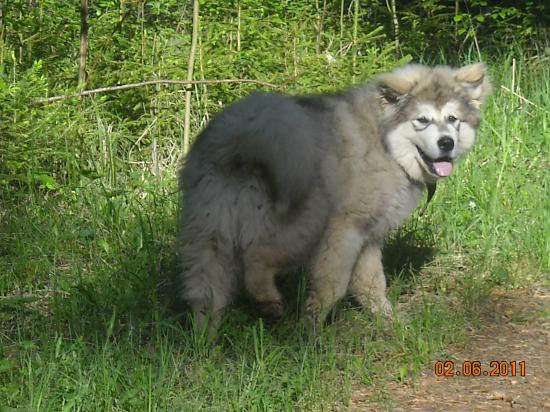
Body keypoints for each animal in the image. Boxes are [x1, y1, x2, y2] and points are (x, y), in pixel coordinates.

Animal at [177, 63, 492, 334]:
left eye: (452, 119)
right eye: (422, 120)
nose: (446, 143)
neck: (384, 140)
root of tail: (242, 139)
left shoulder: (368, 235)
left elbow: (371, 283)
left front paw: (389, 322)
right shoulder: (347, 229)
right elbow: (332, 285)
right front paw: (311, 332)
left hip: (210, 229)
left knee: (206, 290)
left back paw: (205, 340)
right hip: (303, 224)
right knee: (256, 258)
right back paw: (267, 301)